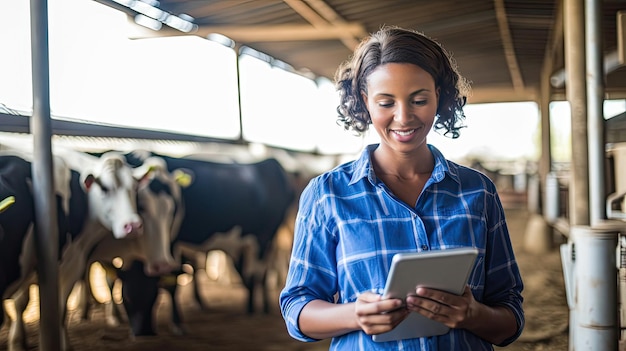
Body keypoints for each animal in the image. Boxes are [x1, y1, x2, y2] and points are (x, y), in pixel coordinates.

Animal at [117, 153, 298, 336]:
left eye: (153, 294)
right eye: (126, 296)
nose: (142, 331)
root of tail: (271, 163)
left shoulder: (171, 242)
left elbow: (172, 282)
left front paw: (177, 323)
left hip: (264, 238)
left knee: (257, 273)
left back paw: (254, 310)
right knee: (254, 272)